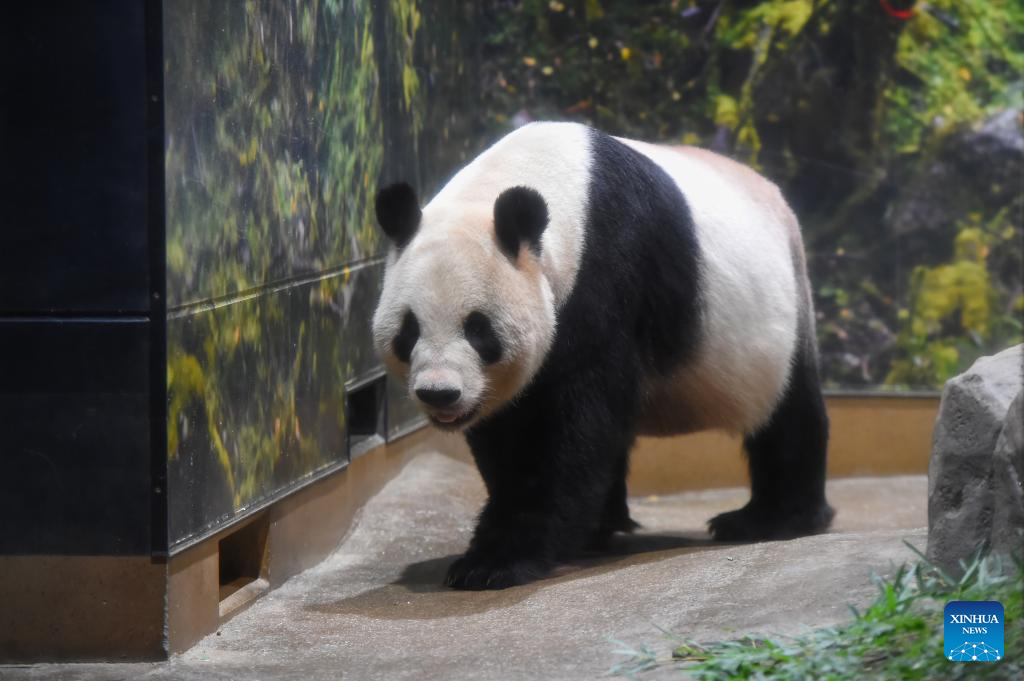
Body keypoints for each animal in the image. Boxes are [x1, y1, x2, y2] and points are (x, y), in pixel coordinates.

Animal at [372, 122, 835, 589]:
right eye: (409, 331)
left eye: (479, 329)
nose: (439, 393)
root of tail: (775, 196)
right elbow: (511, 428)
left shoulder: (609, 271)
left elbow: (576, 422)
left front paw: (495, 561)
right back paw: (601, 527)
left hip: (776, 320)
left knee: (788, 414)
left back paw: (771, 519)